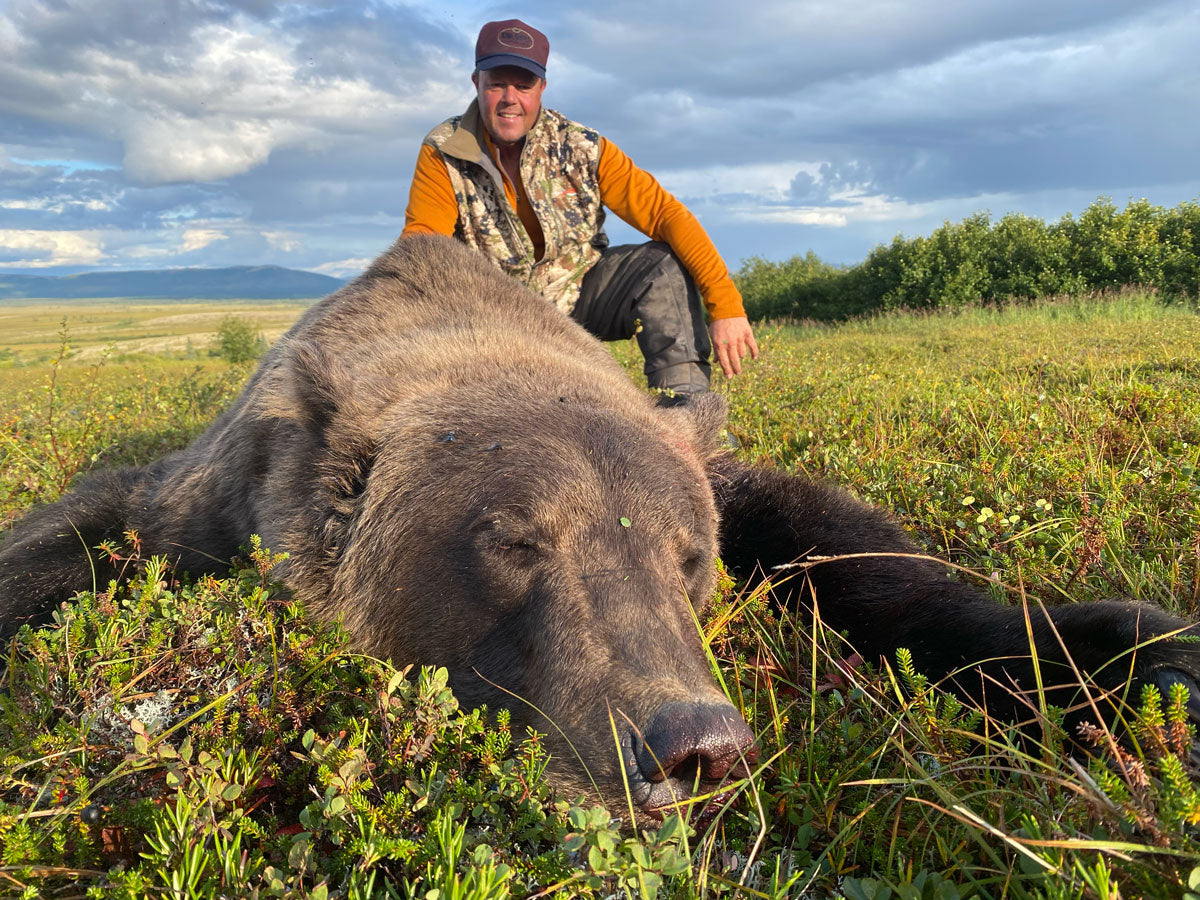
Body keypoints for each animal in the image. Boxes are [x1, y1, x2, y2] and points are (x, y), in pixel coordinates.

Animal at [1, 233, 1197, 825]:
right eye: (514, 538)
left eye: (689, 562)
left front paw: (1131, 660)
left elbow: (851, 545)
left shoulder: (719, 479)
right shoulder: (204, 498)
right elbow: (73, 534)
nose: (696, 746)